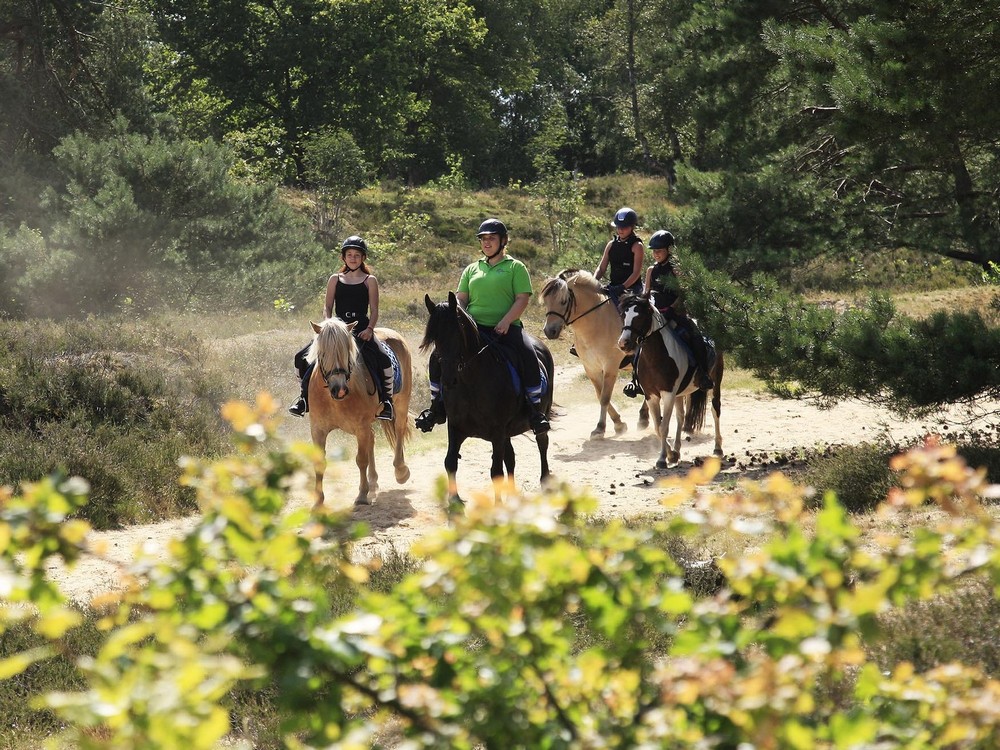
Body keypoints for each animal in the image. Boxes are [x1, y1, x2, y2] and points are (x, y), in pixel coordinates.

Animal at [306, 320, 412, 508]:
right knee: (372, 439)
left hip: (401, 402)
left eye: (346, 353)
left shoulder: (360, 427)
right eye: (323, 354)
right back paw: (374, 482)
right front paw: (318, 501)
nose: (339, 389)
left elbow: (361, 460)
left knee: (399, 429)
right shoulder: (318, 429)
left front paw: (362, 495)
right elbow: (319, 462)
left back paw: (400, 471)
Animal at [418, 294, 552, 512]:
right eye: (435, 338)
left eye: (457, 334)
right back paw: (512, 495)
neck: (471, 381)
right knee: (511, 458)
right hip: (506, 432)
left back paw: (546, 482)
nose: (448, 380)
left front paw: (497, 507)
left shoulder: (496, 430)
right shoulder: (456, 426)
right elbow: (450, 462)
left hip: (537, 418)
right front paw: (455, 501)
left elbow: (496, 470)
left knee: (542, 444)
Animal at [544, 270, 652, 438]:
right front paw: (618, 423)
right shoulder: (590, 367)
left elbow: (605, 398)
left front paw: (601, 427)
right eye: (546, 302)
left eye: (563, 301)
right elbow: (599, 394)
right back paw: (643, 417)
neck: (595, 324)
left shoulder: (610, 366)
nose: (549, 331)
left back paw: (644, 416)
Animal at [612, 296, 724, 468]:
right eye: (623, 315)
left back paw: (718, 448)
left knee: (715, 408)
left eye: (640, 317)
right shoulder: (651, 395)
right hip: (679, 393)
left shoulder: (668, 394)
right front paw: (671, 454)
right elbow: (658, 427)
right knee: (680, 417)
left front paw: (661, 459)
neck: (656, 357)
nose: (623, 343)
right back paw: (677, 450)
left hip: (716, 378)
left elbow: (664, 427)